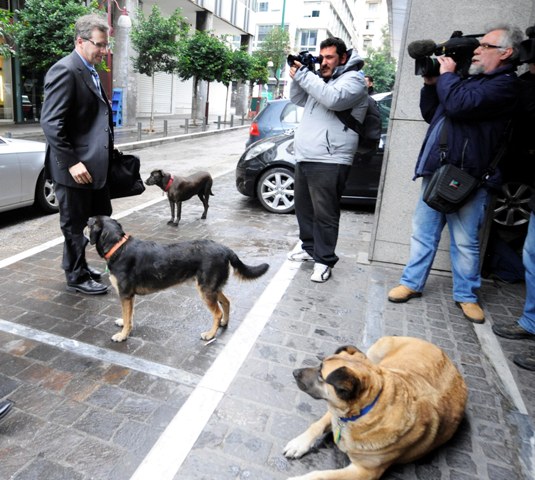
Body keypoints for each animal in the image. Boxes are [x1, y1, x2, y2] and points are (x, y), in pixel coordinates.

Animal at [86, 216, 270, 344]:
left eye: (88, 223)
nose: (82, 226)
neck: (118, 246)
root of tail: (225, 249)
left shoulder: (125, 294)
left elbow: (127, 315)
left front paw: (123, 335)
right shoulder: (129, 296)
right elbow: (129, 315)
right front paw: (124, 325)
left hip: (205, 289)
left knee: (217, 313)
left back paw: (210, 334)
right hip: (212, 287)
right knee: (226, 302)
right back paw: (224, 323)